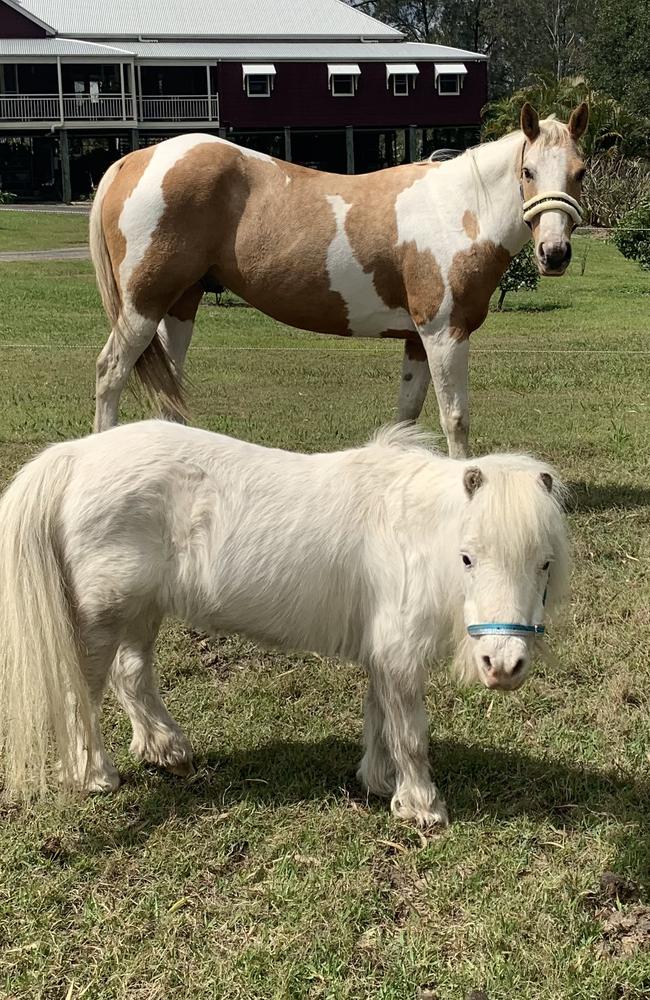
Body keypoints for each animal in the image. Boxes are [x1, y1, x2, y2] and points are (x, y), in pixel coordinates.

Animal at [0, 422, 568, 828]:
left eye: (544, 563)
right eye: (467, 557)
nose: (504, 665)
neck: (409, 533)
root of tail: (73, 456)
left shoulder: (383, 655)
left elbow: (379, 719)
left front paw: (381, 784)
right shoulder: (400, 656)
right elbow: (410, 733)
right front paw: (423, 807)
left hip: (140, 609)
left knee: (132, 676)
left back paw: (168, 751)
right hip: (103, 615)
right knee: (83, 693)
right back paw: (97, 775)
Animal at [88, 102, 584, 458]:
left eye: (579, 173)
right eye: (527, 172)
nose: (554, 254)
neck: (457, 211)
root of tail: (135, 159)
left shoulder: (416, 339)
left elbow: (406, 415)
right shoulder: (445, 334)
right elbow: (455, 417)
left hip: (180, 305)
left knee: (167, 386)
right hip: (142, 307)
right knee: (111, 372)